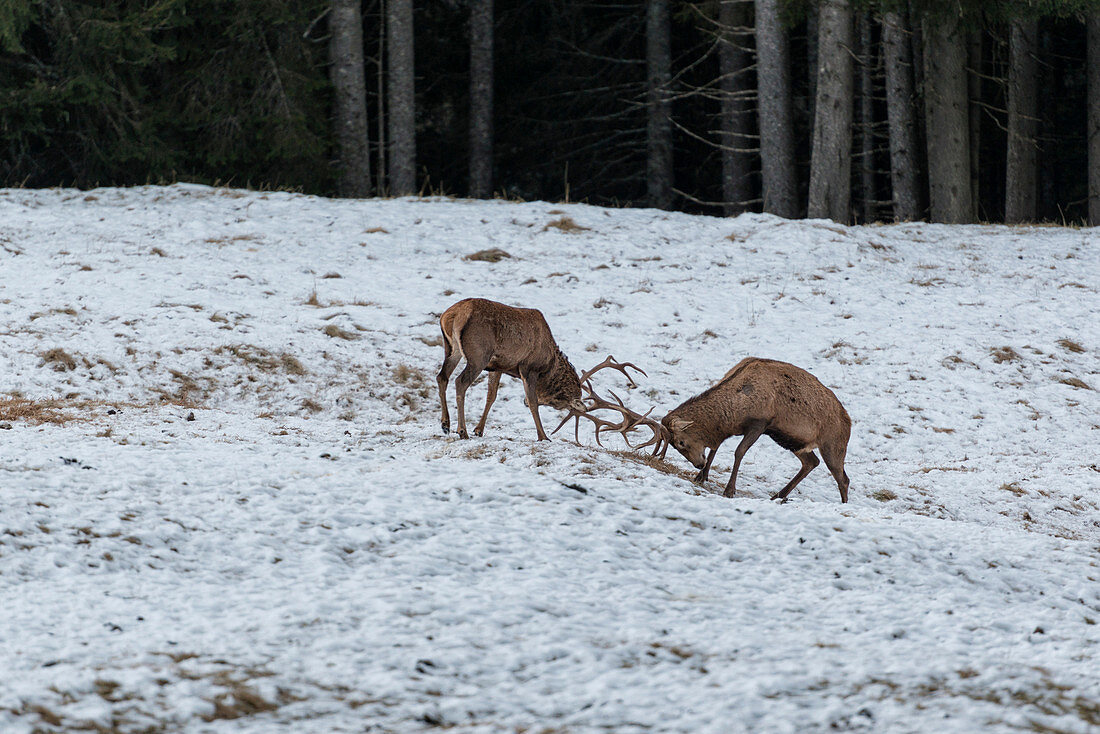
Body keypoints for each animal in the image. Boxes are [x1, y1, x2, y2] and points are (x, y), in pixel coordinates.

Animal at [435, 299, 642, 442]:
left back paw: (445, 424)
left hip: (451, 348)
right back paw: (462, 430)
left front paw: (479, 429)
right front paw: (543, 436)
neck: (549, 365)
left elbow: (491, 396)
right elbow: (533, 401)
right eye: (559, 403)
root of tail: (451, 315)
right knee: (460, 382)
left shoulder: (498, 366)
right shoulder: (528, 368)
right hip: (478, 354)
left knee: (442, 376)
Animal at [651, 356, 849, 506]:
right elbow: (715, 447)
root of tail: (848, 420)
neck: (736, 409)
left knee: (843, 477)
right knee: (812, 462)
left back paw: (843, 504)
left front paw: (729, 490)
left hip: (833, 445)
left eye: (681, 442)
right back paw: (777, 495)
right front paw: (701, 476)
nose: (698, 464)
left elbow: (739, 452)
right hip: (793, 443)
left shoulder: (760, 424)